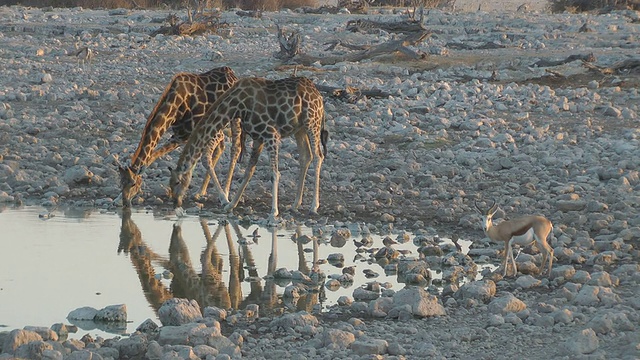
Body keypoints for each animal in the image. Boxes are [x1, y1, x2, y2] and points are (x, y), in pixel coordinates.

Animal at [117, 66, 242, 208]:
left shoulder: (204, 133)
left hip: (234, 120)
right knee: (221, 147)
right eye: (120, 183)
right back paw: (201, 191)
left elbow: (203, 161)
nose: (125, 202)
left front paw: (223, 198)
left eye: (133, 184)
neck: (178, 104)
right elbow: (153, 157)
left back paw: (225, 192)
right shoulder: (179, 137)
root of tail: (231, 73)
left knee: (235, 149)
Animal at [170, 77, 328, 221]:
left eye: (177, 182)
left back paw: (314, 206)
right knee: (306, 156)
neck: (236, 105)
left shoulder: (271, 134)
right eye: (170, 184)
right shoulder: (258, 138)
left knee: (318, 156)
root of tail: (318, 95)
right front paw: (230, 205)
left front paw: (273, 212)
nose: (176, 203)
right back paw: (295, 204)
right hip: (299, 129)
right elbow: (248, 171)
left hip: (312, 122)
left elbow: (274, 173)